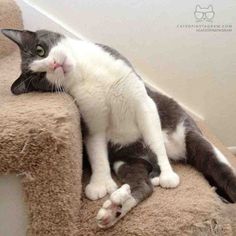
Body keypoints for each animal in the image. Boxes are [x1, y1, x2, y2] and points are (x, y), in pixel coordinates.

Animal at [2, 28, 236, 228]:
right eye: (40, 76)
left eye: (40, 50)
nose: (53, 65)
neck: (86, 72)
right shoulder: (91, 117)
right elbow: (96, 150)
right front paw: (100, 184)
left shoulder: (142, 101)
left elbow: (154, 138)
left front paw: (168, 174)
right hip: (126, 160)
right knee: (144, 186)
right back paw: (115, 209)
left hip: (189, 135)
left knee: (218, 168)